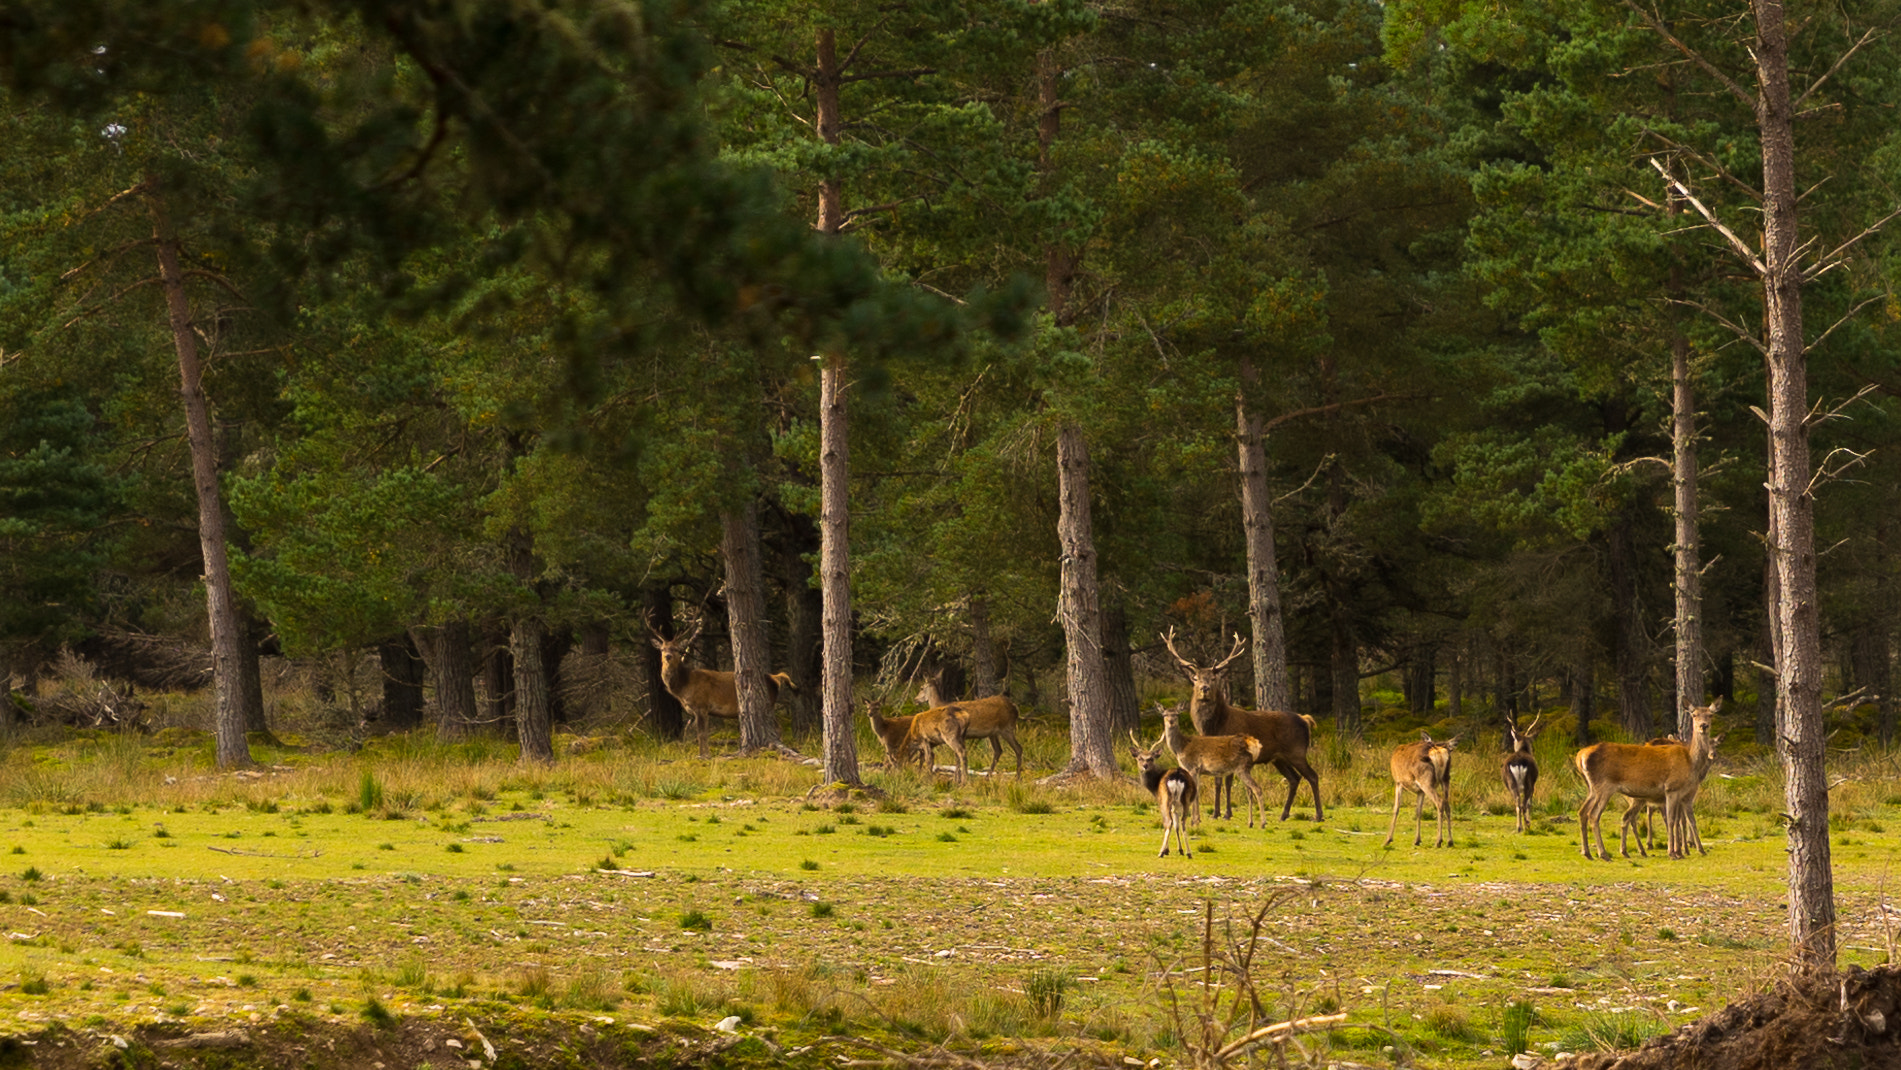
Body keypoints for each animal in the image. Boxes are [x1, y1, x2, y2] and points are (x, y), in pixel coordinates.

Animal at [653, 619, 794, 760]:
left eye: (676, 649)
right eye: (662, 649)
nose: (668, 656)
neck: (684, 687)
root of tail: (775, 677)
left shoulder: (701, 706)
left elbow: (702, 734)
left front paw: (703, 755)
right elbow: (702, 734)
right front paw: (704, 754)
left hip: (769, 703)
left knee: (778, 727)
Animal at [1155, 630, 1323, 824]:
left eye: (1213, 678)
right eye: (1195, 678)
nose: (1205, 688)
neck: (1213, 727)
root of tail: (1305, 720)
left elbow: (1226, 783)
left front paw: (1226, 813)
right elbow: (1218, 782)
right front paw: (1216, 813)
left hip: (1297, 751)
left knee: (1312, 776)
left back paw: (1318, 815)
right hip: (1279, 758)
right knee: (1294, 779)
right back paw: (1284, 814)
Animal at [1574, 695, 1726, 862]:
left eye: (1710, 715)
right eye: (1694, 715)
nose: (1703, 726)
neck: (1691, 761)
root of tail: (1581, 756)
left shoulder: (1683, 794)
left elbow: (1683, 820)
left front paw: (1685, 851)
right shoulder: (1671, 788)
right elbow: (1671, 820)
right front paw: (1673, 852)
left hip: (1592, 788)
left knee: (1582, 811)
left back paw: (1588, 853)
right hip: (1604, 786)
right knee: (1594, 815)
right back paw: (1604, 853)